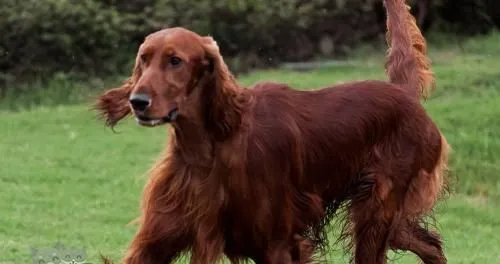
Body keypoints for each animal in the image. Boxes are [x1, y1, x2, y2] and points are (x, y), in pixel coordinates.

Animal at [96, 1, 450, 262]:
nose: (137, 102)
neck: (211, 146)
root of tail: (403, 94)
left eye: (175, 61)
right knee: (431, 245)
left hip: (375, 214)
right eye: (144, 59)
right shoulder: (157, 241)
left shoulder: (277, 245)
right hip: (385, 216)